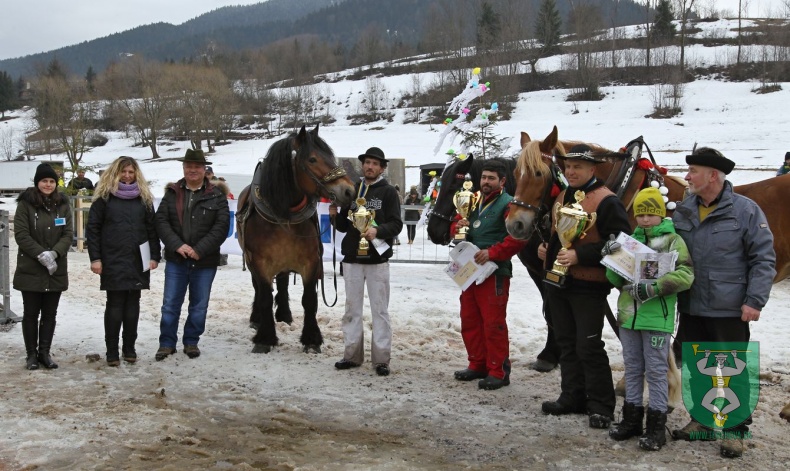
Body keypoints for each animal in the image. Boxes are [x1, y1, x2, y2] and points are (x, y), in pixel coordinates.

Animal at [238, 125, 356, 354]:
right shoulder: (260, 262)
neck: (284, 216)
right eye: (312, 159)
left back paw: (284, 314)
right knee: (259, 288)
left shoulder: (310, 262)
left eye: (330, 156)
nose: (349, 191)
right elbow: (264, 296)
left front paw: (311, 339)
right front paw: (265, 338)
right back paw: (257, 318)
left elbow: (309, 300)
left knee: (283, 282)